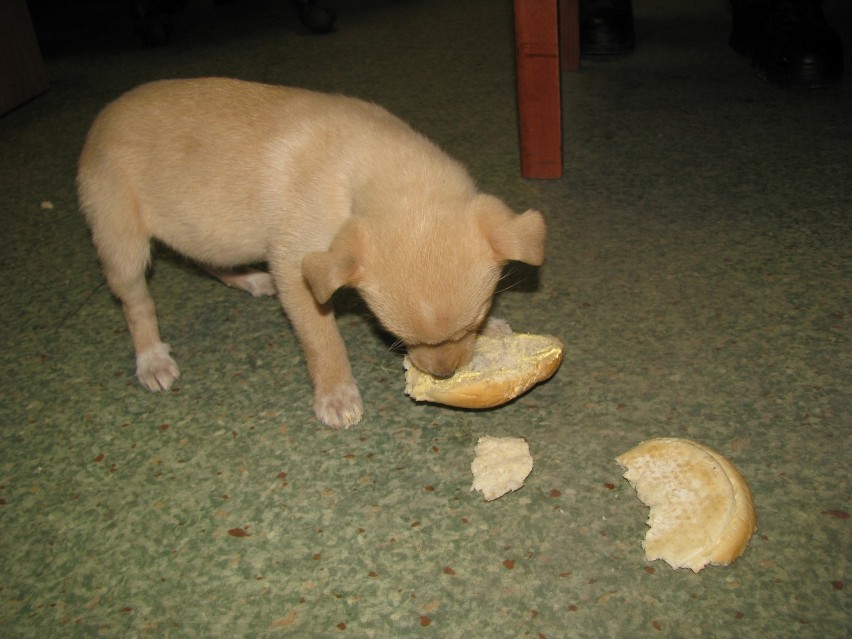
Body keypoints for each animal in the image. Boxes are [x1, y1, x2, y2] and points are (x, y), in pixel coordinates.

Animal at [80, 80, 544, 430]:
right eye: (397, 336)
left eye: (472, 323)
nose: (445, 374)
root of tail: (101, 119)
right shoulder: (296, 270)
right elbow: (323, 340)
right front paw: (336, 393)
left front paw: (494, 329)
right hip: (122, 242)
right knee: (136, 303)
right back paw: (151, 358)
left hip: (210, 231)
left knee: (207, 260)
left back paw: (249, 279)